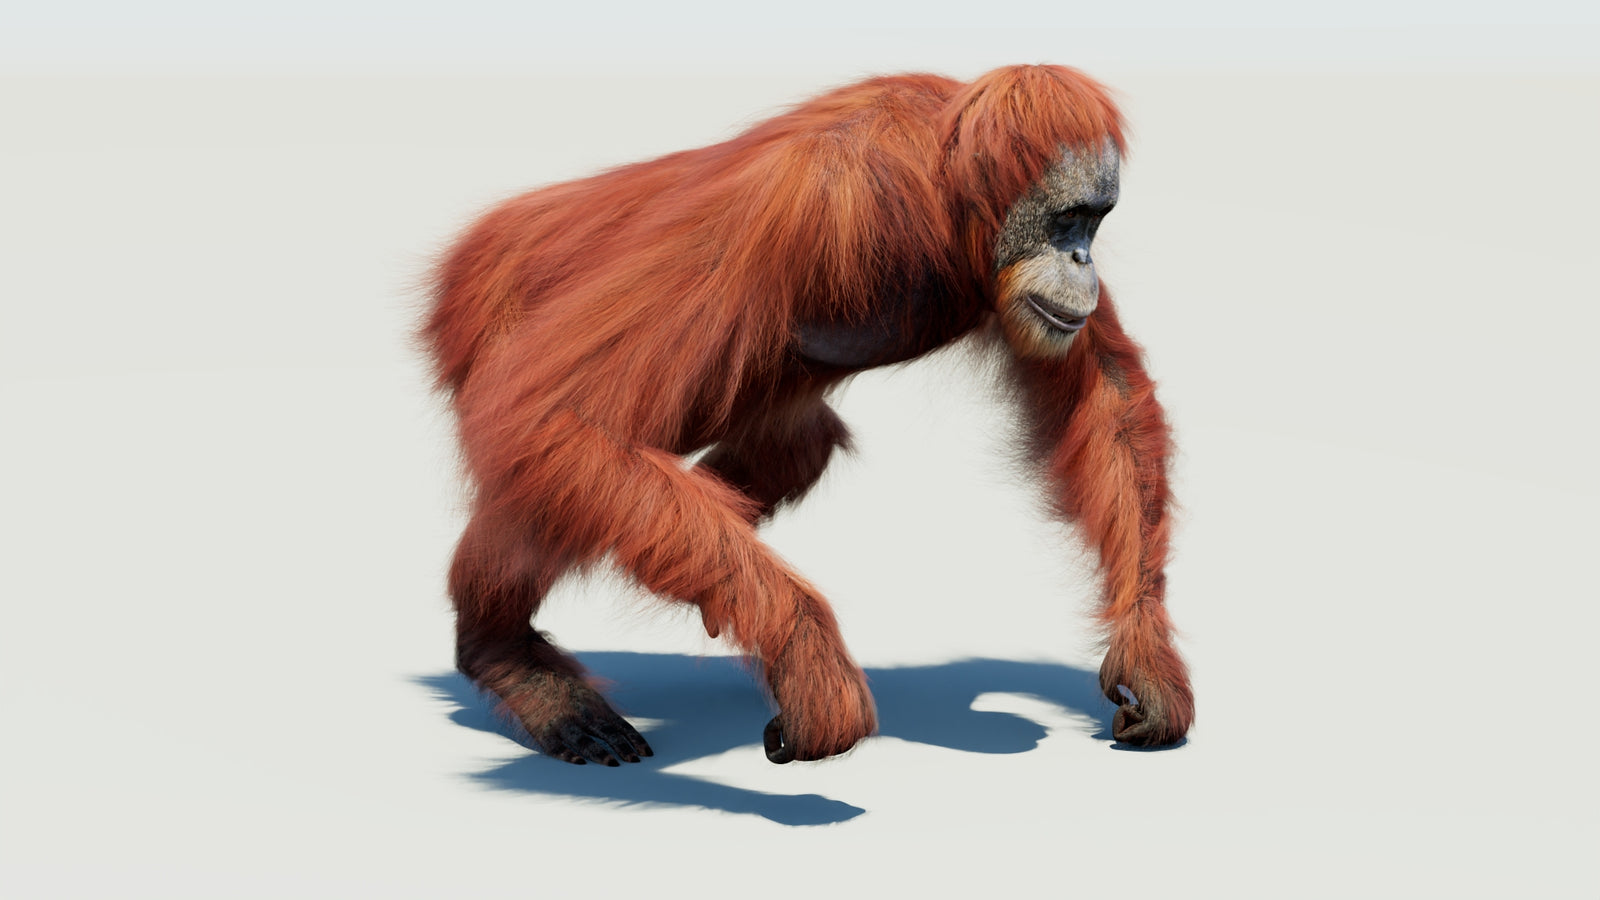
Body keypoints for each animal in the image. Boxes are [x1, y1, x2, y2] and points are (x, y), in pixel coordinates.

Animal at [423, 64, 1192, 765]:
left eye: (1095, 221)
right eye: (1067, 219)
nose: (1082, 258)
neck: (944, 198)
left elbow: (1107, 393)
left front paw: (1146, 657)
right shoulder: (809, 201)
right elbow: (557, 414)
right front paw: (808, 657)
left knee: (789, 446)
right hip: (488, 311)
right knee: (538, 453)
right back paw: (509, 657)